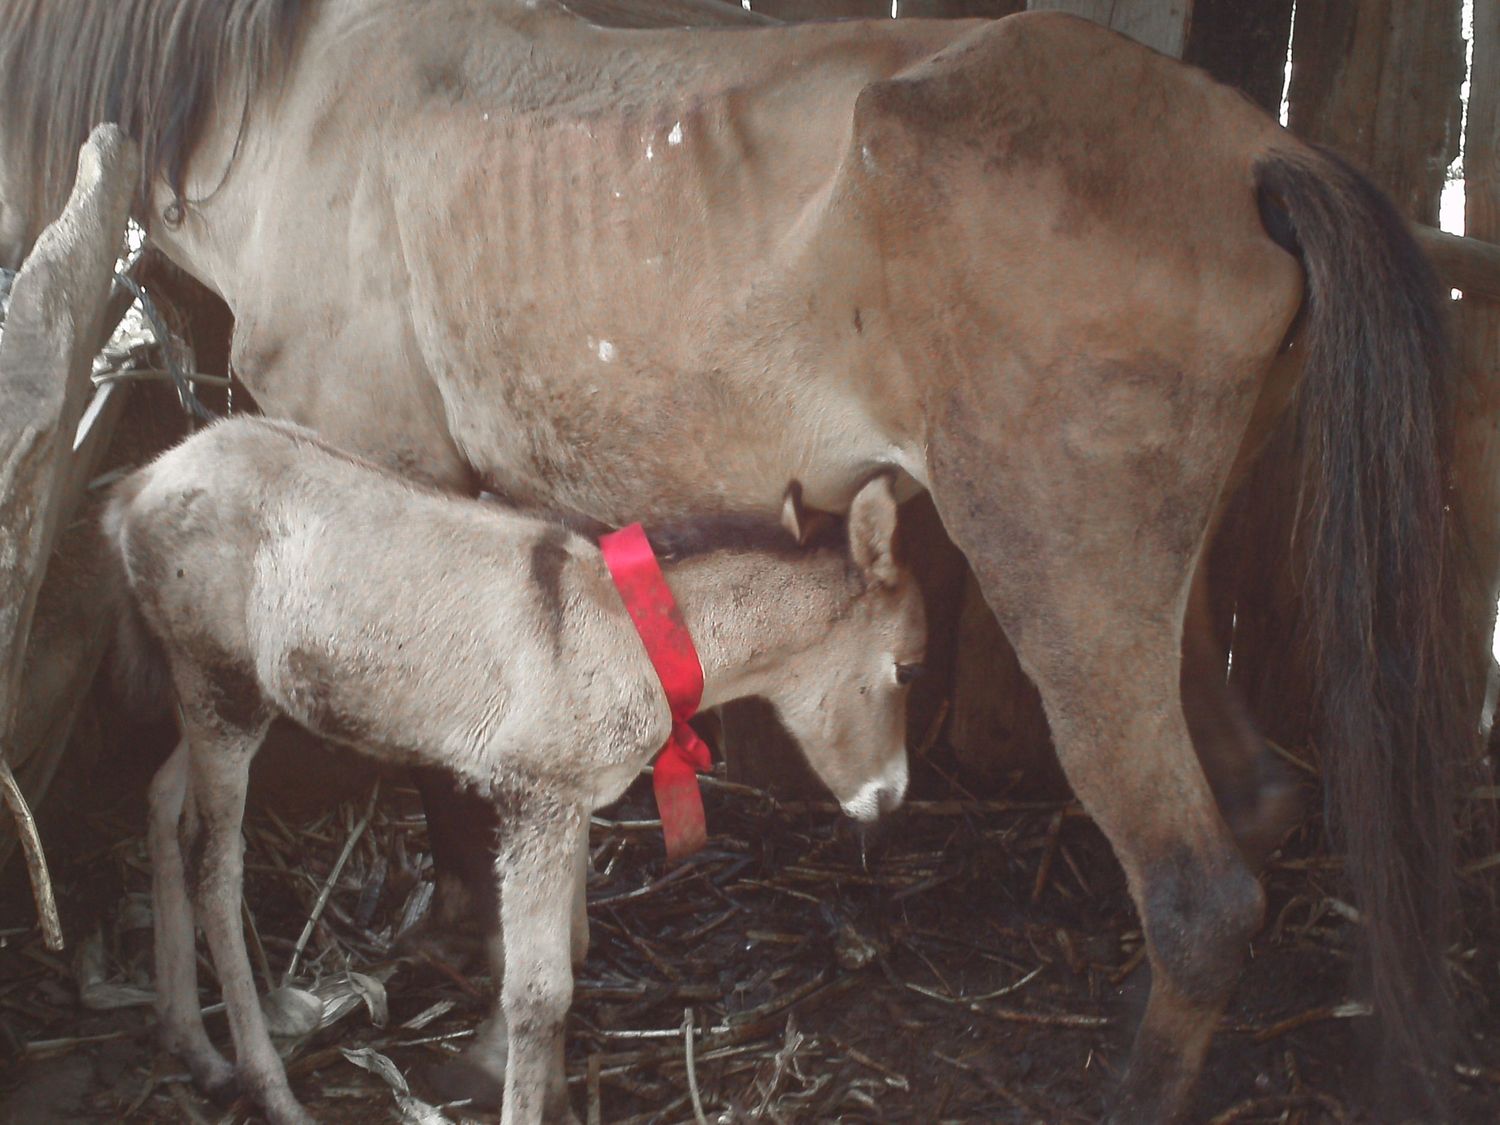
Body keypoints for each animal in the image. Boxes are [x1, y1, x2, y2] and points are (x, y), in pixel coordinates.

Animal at [104, 414, 924, 1124]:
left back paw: (194, 1047)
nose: (888, 801)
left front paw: (531, 1085)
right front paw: (511, 1087)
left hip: (208, 695)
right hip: (222, 690)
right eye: (909, 669)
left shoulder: (572, 803)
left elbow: (572, 951)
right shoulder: (536, 796)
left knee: (162, 806)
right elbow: (539, 990)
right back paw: (267, 1086)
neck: (631, 634)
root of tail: (140, 484)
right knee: (214, 868)